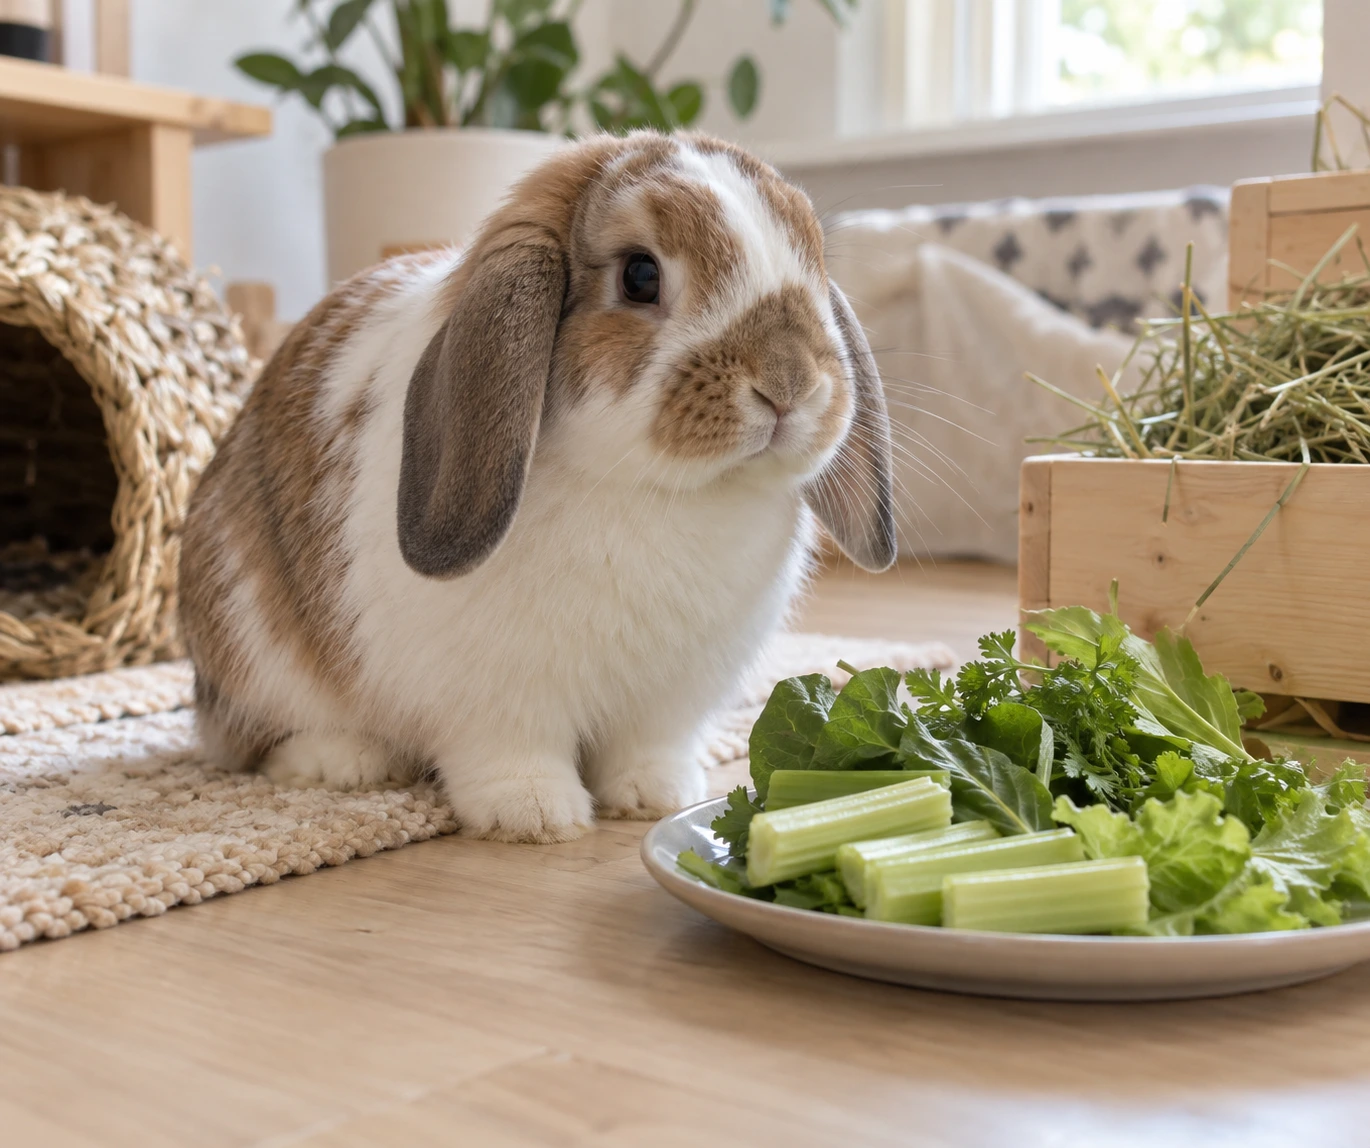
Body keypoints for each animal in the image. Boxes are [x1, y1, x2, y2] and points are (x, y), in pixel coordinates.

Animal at [178, 130, 895, 844]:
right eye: (640, 275)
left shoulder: (665, 703)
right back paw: (342, 762)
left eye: (814, 261)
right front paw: (534, 814)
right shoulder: (493, 701)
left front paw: (656, 796)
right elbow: (510, 753)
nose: (789, 382)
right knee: (256, 739)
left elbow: (647, 748)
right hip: (254, 653)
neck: (656, 489)